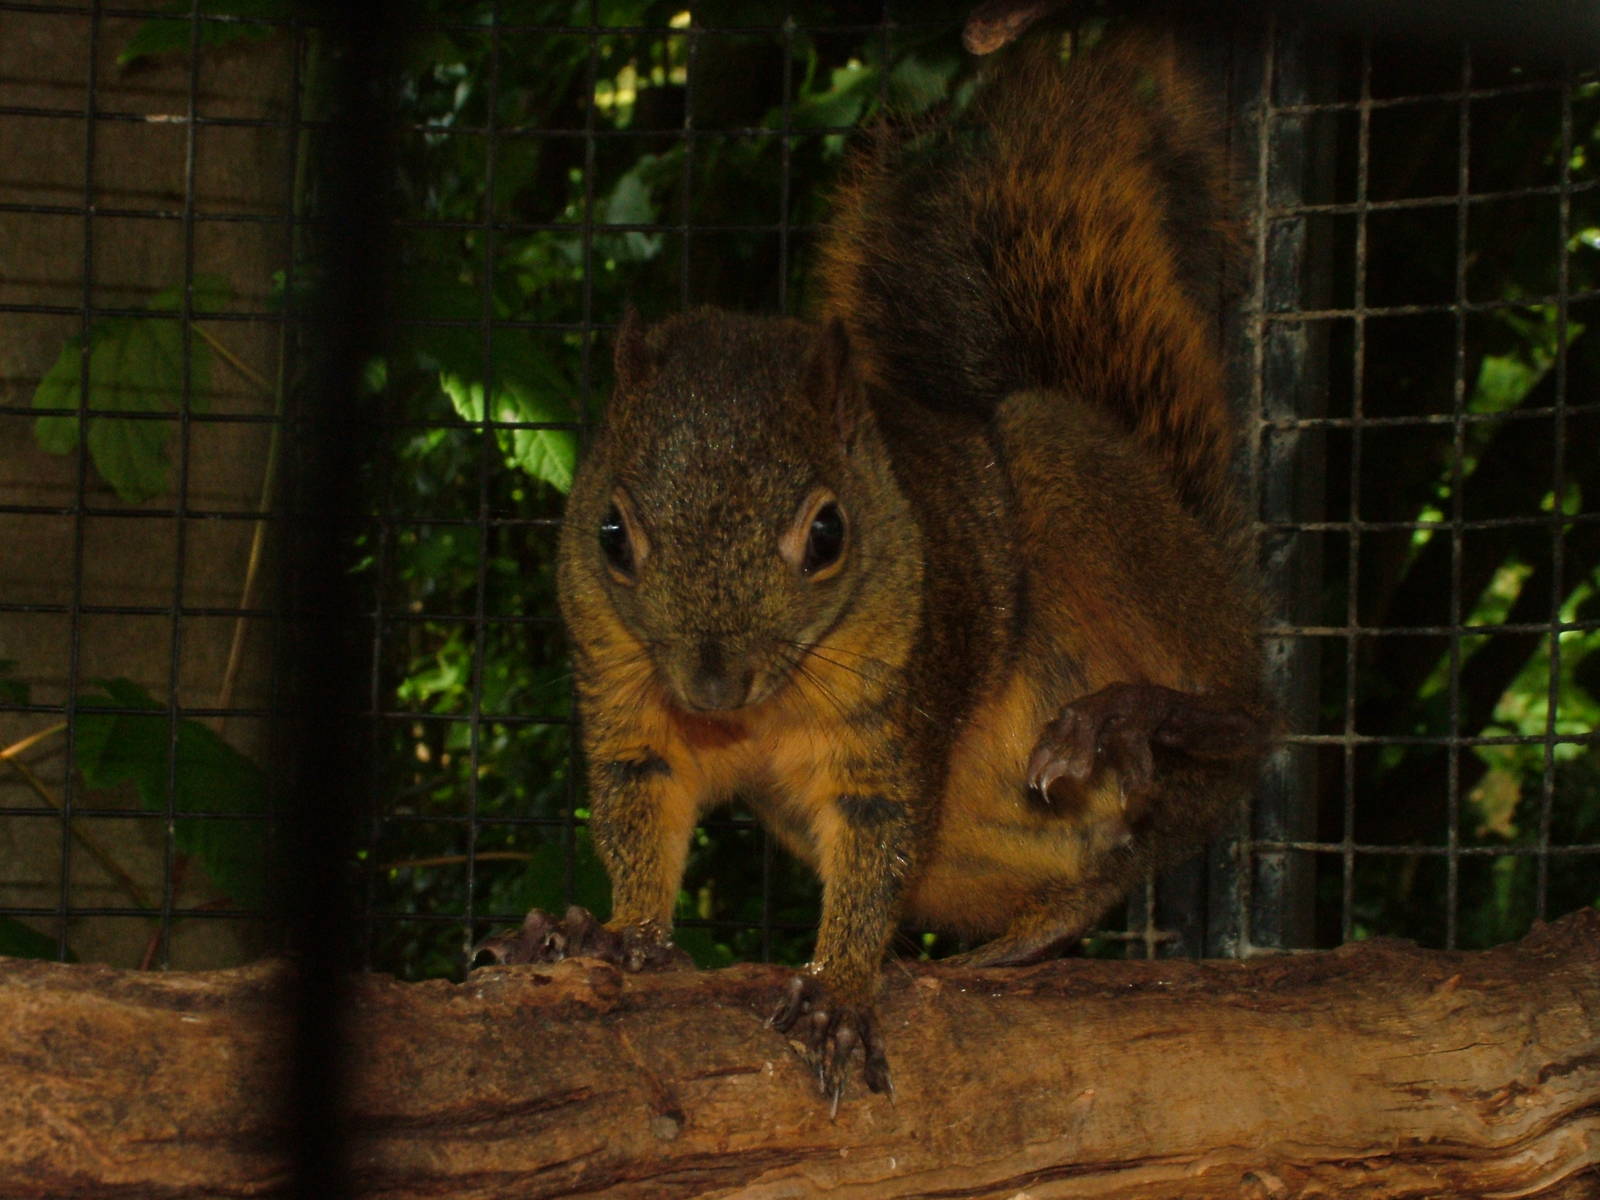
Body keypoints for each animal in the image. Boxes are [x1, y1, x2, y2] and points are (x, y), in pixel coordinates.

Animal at [477, 11, 1269, 1105]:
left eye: (827, 535)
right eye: (610, 535)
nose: (710, 684)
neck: (760, 706)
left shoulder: (898, 700)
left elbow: (878, 828)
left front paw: (843, 991)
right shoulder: (624, 689)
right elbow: (645, 807)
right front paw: (612, 933)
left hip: (1081, 492)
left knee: (1252, 721)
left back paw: (1144, 718)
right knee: (1099, 868)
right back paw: (1022, 939)